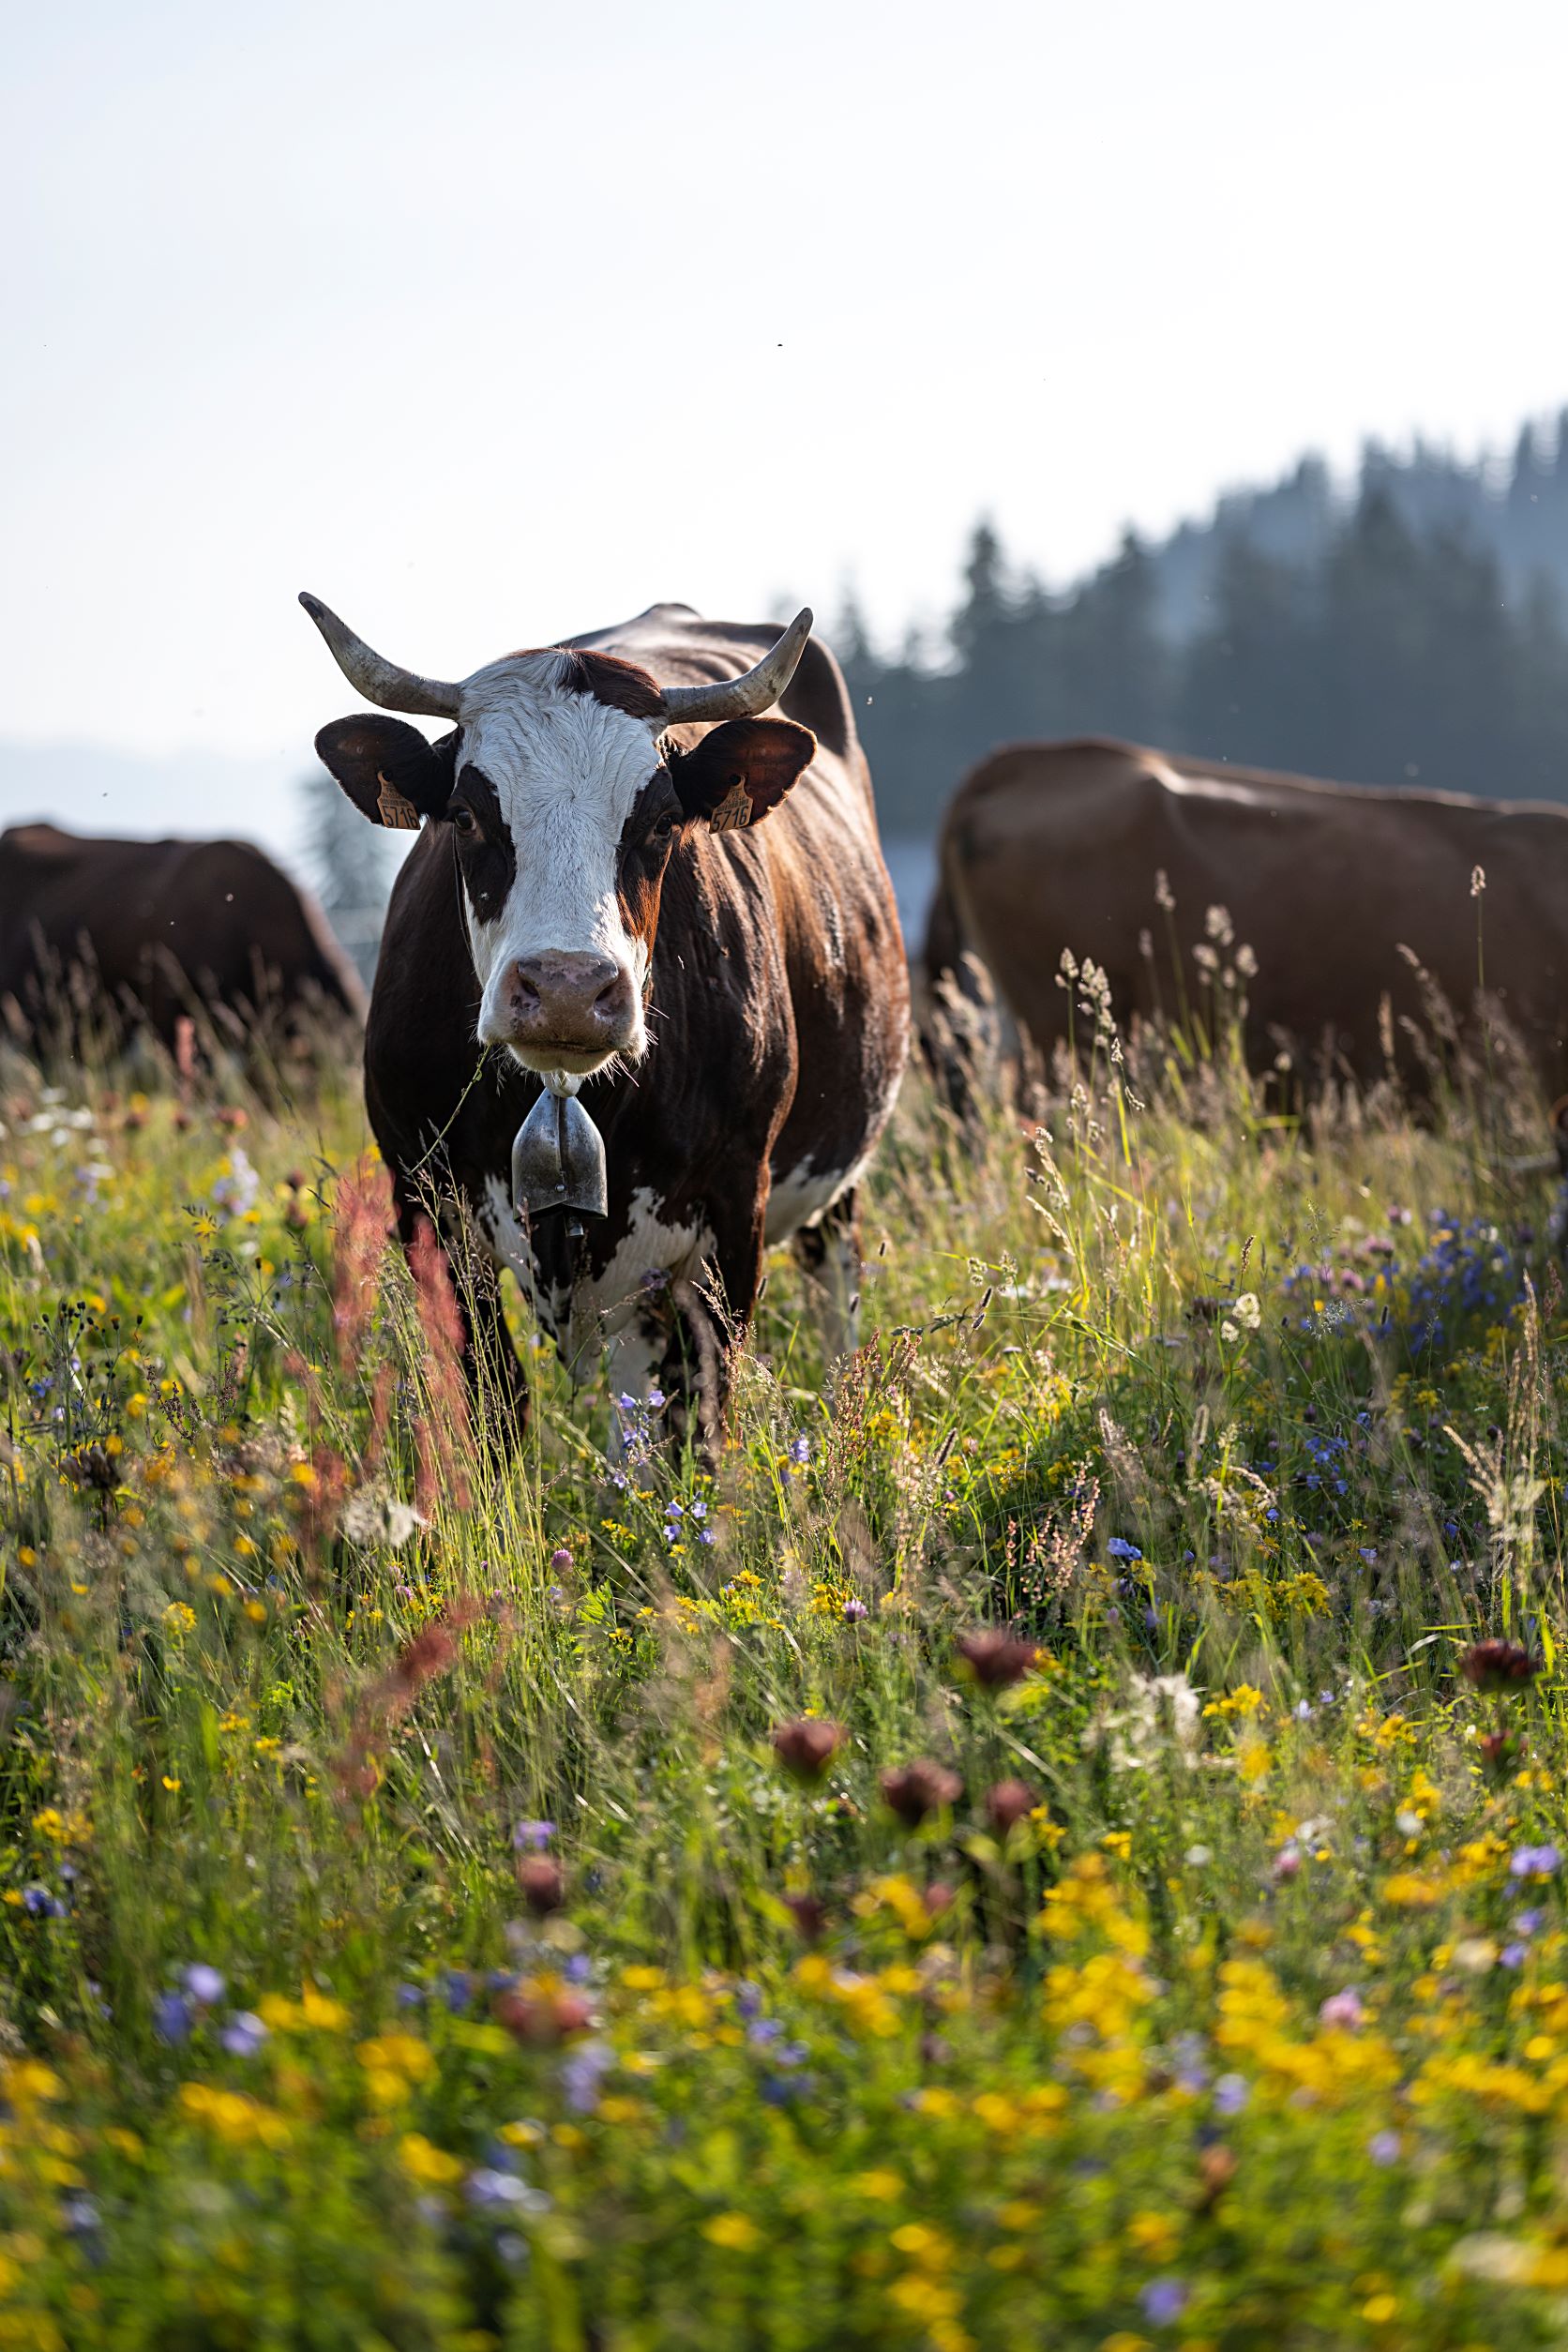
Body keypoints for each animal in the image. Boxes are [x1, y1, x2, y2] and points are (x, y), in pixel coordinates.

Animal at [303, 593, 907, 1429]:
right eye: (464, 814)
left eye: (661, 821)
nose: (567, 987)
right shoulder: (427, 1206)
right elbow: (497, 1401)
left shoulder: (731, 1216)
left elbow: (700, 1420)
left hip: (833, 1185)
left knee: (833, 1301)